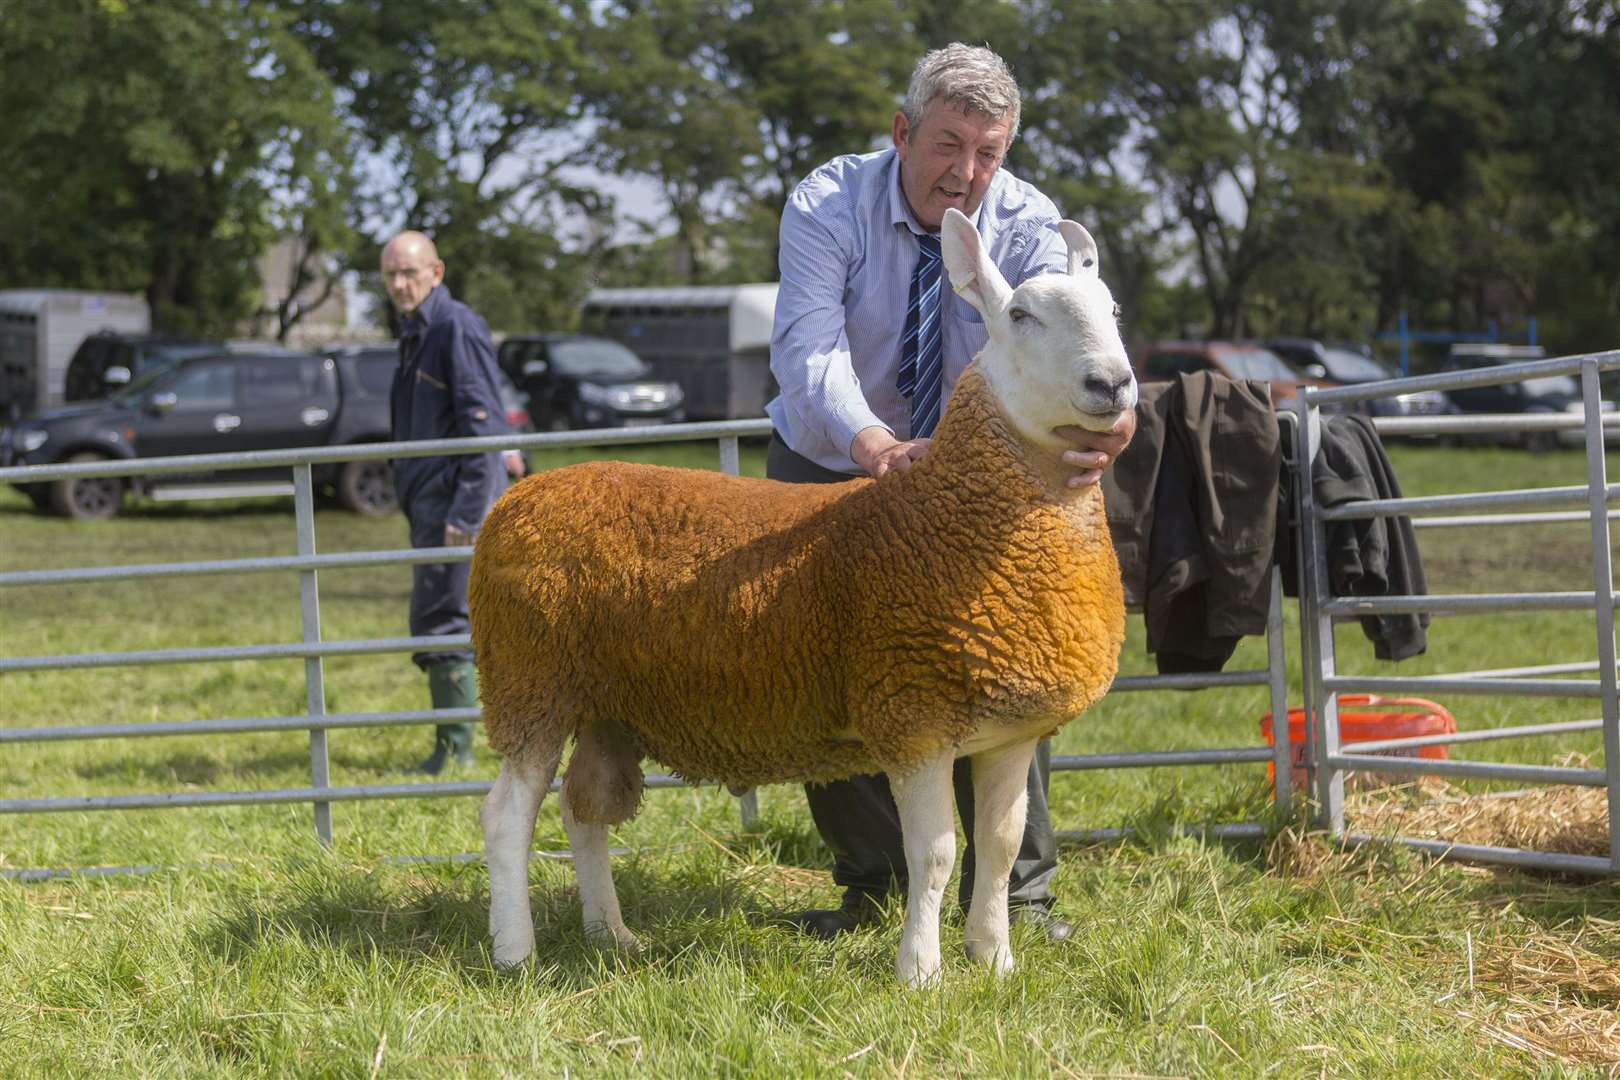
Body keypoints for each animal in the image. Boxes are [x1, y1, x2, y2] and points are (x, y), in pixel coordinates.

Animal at [466, 204, 1140, 990]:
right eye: (1022, 315)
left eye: (1113, 311)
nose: (1112, 384)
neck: (947, 511)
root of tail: (524, 495)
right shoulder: (913, 716)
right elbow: (936, 853)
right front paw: (921, 971)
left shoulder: (1009, 731)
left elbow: (998, 847)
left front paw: (994, 960)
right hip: (530, 680)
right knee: (506, 817)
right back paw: (515, 951)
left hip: (605, 703)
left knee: (584, 811)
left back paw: (612, 934)